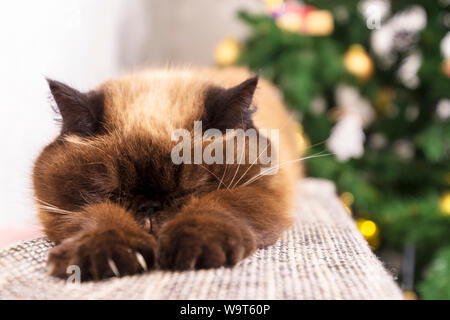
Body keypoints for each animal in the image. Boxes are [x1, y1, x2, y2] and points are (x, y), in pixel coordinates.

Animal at [32, 67, 302, 280]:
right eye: (114, 193)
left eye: (189, 191)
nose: (150, 208)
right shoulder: (64, 211)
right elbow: (100, 216)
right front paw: (101, 252)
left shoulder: (265, 194)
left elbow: (217, 204)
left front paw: (192, 245)